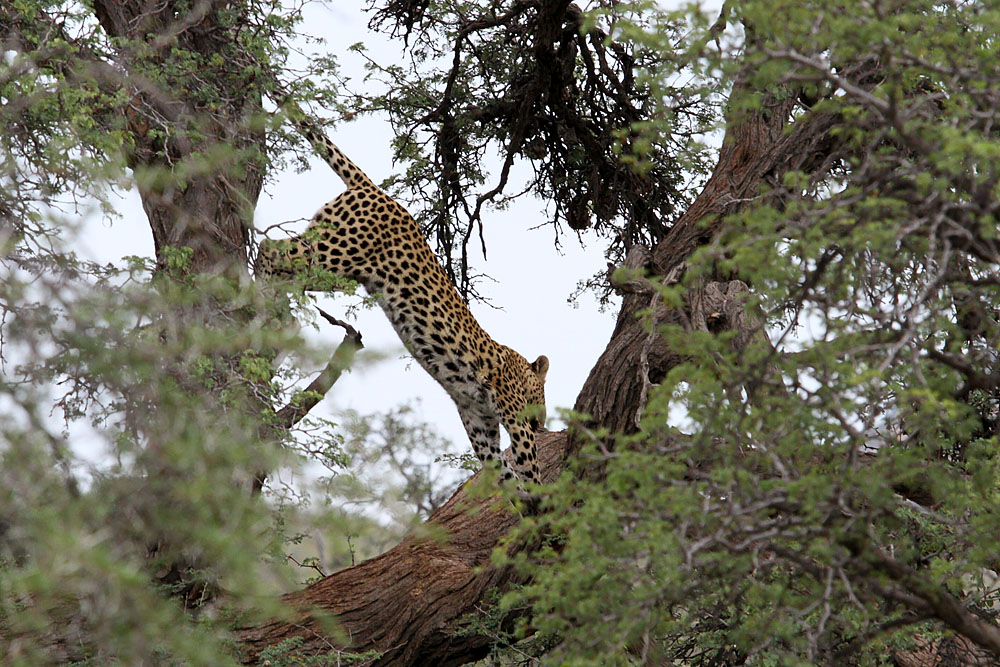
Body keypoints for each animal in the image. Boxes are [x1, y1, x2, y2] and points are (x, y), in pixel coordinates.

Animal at [256, 120, 548, 486]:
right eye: (544, 394)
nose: (544, 424)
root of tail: (376, 190)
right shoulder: (512, 414)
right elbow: (529, 464)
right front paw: (546, 496)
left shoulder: (478, 420)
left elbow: (502, 470)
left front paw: (522, 497)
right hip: (332, 254)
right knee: (268, 247)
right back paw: (256, 295)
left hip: (335, 269)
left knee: (282, 272)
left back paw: (273, 320)